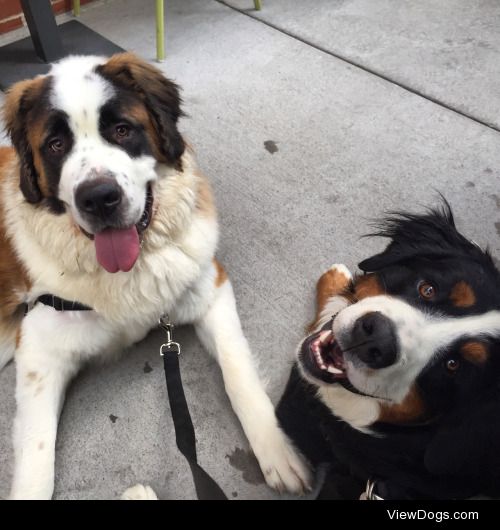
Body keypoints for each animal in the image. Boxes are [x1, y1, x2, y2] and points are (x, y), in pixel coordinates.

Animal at [0, 51, 308, 498]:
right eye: (56, 146)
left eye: (122, 130)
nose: (99, 198)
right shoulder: (39, 351)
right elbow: (37, 461)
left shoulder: (210, 287)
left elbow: (238, 371)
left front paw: (277, 447)